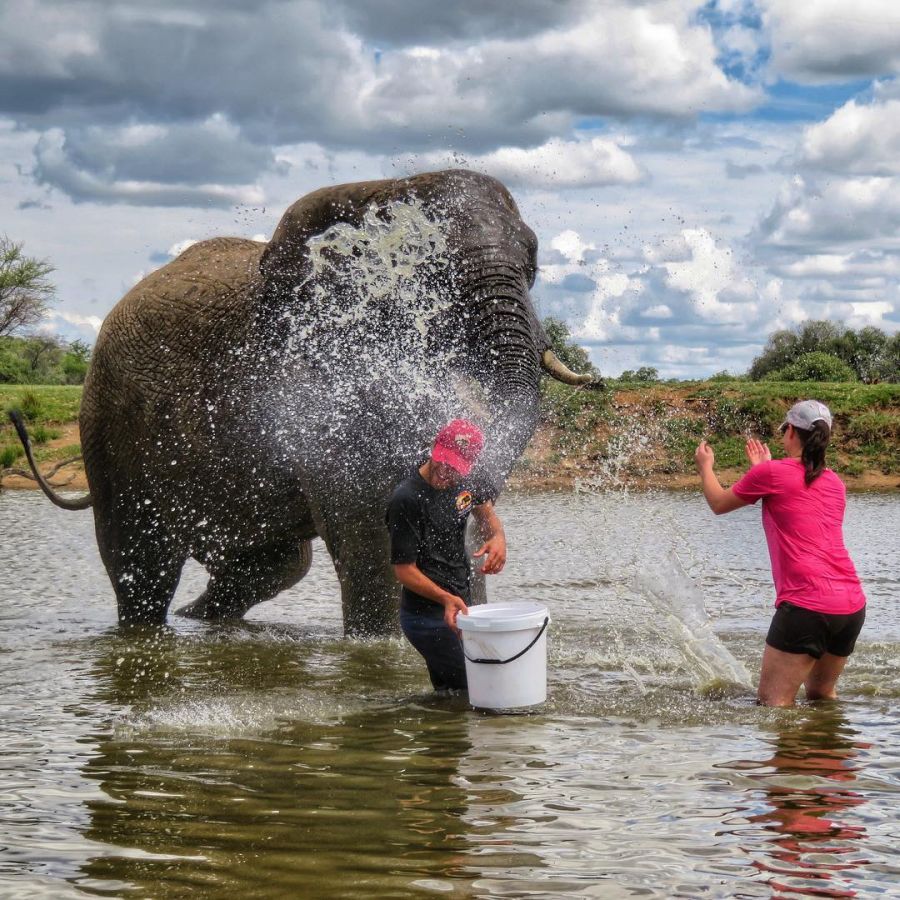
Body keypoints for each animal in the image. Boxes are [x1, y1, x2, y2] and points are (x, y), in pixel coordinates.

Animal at [13, 169, 599, 635]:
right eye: (432, 267)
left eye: (533, 262)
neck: (382, 189)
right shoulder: (318, 376)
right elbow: (373, 537)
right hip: (114, 423)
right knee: (143, 567)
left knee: (273, 565)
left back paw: (204, 623)